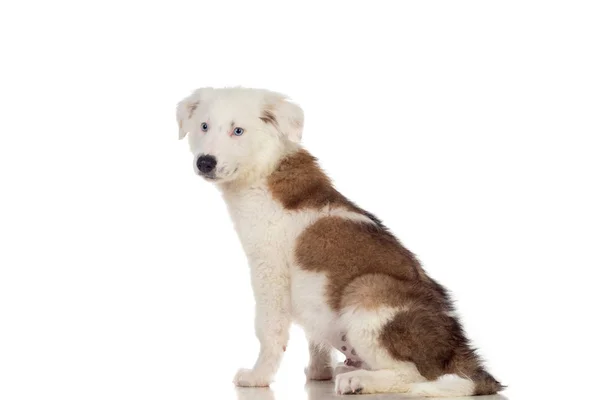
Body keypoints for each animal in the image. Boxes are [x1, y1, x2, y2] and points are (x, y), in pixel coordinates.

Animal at [177, 86, 502, 396]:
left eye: (238, 131)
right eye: (204, 126)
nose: (205, 163)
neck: (265, 170)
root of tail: (458, 351)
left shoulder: (269, 273)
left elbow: (269, 330)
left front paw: (258, 377)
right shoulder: (307, 289)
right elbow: (314, 337)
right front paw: (318, 372)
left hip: (367, 292)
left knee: (411, 374)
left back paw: (358, 381)